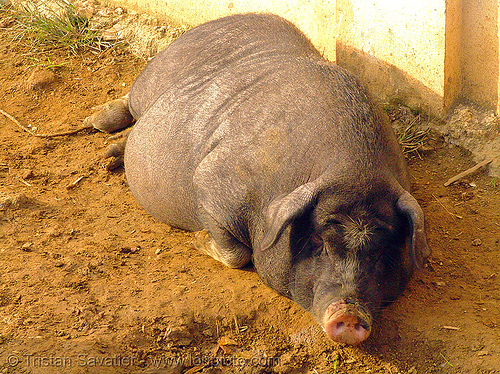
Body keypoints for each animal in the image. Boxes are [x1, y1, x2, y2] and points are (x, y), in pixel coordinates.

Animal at [86, 12, 430, 344]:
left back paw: (110, 154)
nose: (349, 314)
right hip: (152, 78)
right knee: (130, 103)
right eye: (319, 241)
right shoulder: (211, 185)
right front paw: (197, 239)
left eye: (383, 250)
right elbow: (237, 253)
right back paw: (96, 125)